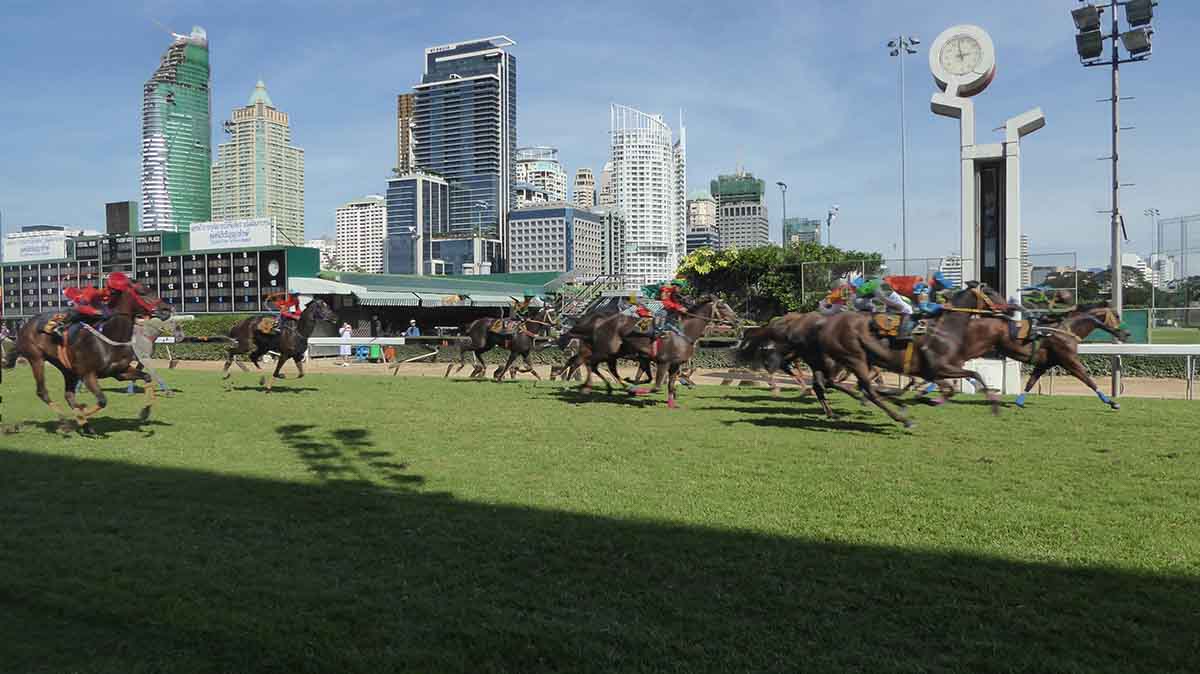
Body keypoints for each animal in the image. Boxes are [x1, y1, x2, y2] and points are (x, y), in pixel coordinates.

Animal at [2, 281, 172, 429]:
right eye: (142, 292)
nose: (167, 309)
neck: (110, 337)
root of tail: (25, 325)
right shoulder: (88, 374)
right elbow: (102, 401)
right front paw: (80, 415)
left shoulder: (119, 372)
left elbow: (147, 377)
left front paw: (145, 412)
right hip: (36, 358)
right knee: (42, 391)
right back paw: (67, 422)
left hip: (67, 369)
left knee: (69, 395)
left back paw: (84, 424)